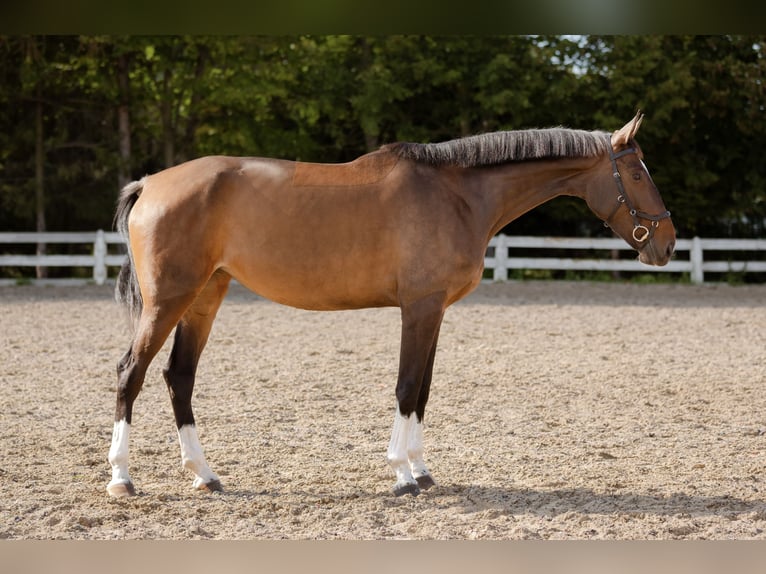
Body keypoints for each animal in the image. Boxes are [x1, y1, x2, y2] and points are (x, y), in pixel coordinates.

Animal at [109, 112, 680, 500]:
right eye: (636, 174)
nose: (668, 243)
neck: (457, 195)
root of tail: (151, 183)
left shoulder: (436, 311)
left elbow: (423, 390)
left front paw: (422, 471)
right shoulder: (420, 307)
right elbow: (407, 386)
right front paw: (402, 473)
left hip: (206, 296)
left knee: (179, 376)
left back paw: (205, 475)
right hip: (169, 300)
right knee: (131, 373)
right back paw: (121, 478)